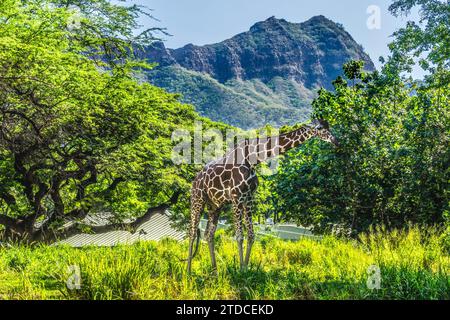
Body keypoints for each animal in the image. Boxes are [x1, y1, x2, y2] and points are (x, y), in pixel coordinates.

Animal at [185, 119, 338, 274]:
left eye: (328, 126)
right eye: (319, 128)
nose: (336, 141)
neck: (254, 158)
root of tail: (195, 180)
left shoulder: (248, 198)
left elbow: (251, 235)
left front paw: (245, 268)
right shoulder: (236, 197)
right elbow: (239, 236)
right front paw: (240, 270)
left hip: (215, 206)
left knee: (209, 234)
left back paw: (214, 272)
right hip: (197, 200)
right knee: (192, 232)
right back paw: (188, 271)